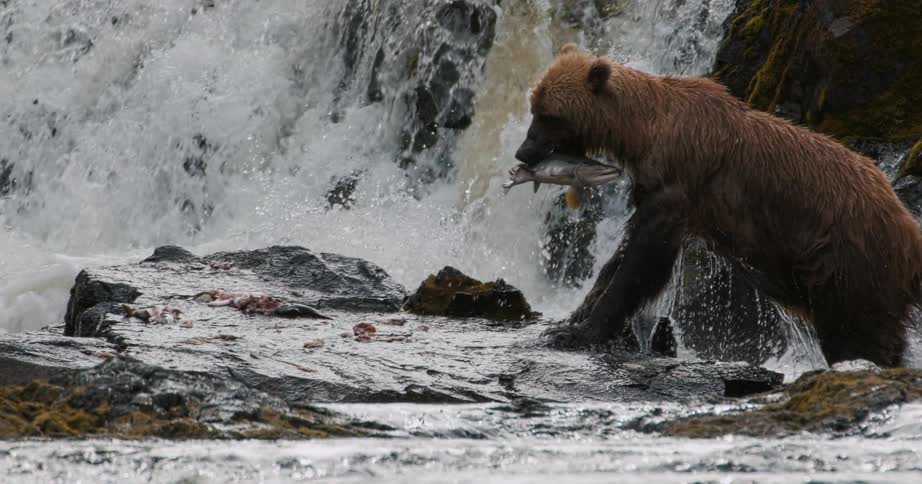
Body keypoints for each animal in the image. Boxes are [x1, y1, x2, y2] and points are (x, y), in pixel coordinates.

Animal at [516, 43, 922, 368]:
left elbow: (643, 263)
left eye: (547, 115)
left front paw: (580, 332)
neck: (645, 134)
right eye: (533, 106)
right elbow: (624, 252)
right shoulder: (653, 187)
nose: (523, 151)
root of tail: (906, 223)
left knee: (856, 333)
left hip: (846, 262)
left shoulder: (680, 183)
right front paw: (572, 317)